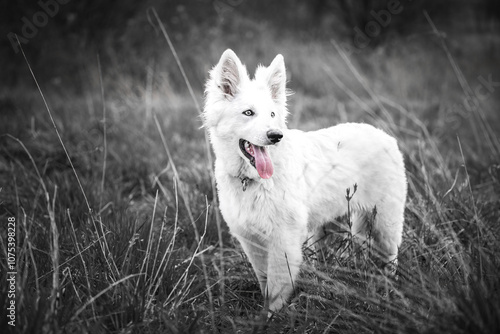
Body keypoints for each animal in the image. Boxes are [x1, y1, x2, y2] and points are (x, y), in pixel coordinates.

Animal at [202, 48, 406, 312]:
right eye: (248, 113)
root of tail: (384, 135)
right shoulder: (251, 240)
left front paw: (270, 315)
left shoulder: (283, 240)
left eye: (272, 114)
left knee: (391, 258)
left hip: (385, 224)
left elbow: (276, 288)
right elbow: (264, 279)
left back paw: (389, 290)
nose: (276, 136)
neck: (253, 181)